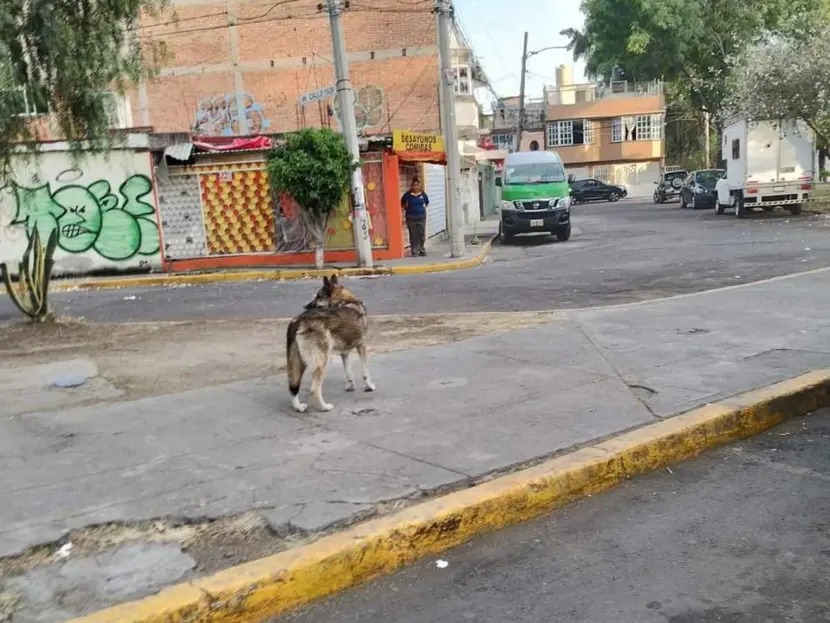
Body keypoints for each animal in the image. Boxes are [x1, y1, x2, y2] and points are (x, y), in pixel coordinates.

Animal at [286, 274, 376, 414]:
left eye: (318, 296)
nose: (305, 306)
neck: (346, 302)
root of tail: (298, 319)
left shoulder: (344, 352)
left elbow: (348, 372)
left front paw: (351, 386)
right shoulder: (361, 346)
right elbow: (365, 373)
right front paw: (369, 386)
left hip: (299, 362)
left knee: (293, 386)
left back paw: (298, 407)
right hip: (321, 362)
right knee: (314, 389)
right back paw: (325, 407)